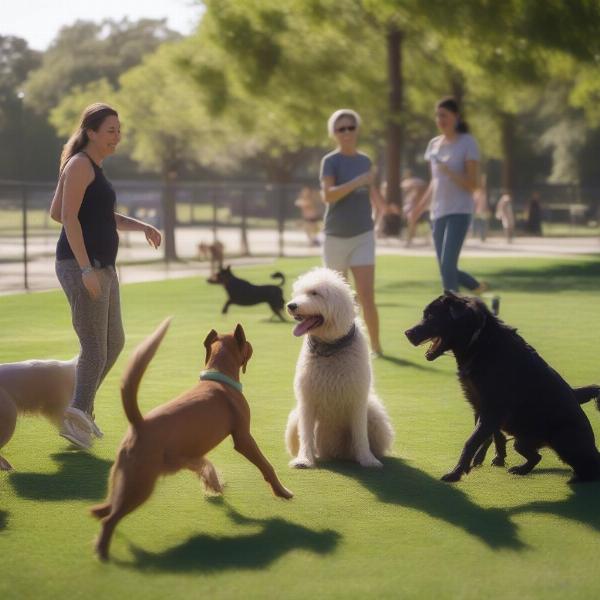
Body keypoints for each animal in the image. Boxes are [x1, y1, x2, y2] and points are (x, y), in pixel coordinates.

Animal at [91, 318, 292, 564]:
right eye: (246, 343)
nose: (251, 344)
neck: (218, 377)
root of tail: (139, 424)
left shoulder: (193, 455)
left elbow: (206, 467)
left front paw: (214, 484)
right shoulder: (244, 439)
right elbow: (266, 466)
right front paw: (282, 491)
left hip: (123, 478)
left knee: (105, 509)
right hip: (139, 486)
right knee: (109, 519)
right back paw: (102, 550)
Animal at [284, 268, 394, 468]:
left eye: (315, 293)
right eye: (299, 292)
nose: (291, 305)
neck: (330, 346)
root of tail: (332, 452)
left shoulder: (357, 400)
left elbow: (360, 434)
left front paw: (367, 460)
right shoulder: (307, 401)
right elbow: (306, 435)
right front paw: (304, 459)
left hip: (375, 414)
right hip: (295, 417)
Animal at [404, 292, 600, 486]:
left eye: (431, 316)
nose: (407, 333)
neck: (480, 342)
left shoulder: (492, 409)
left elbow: (471, 441)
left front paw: (456, 473)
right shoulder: (481, 407)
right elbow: (492, 436)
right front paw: (491, 459)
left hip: (564, 439)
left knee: (590, 466)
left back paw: (577, 477)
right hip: (522, 442)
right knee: (536, 456)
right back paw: (521, 469)